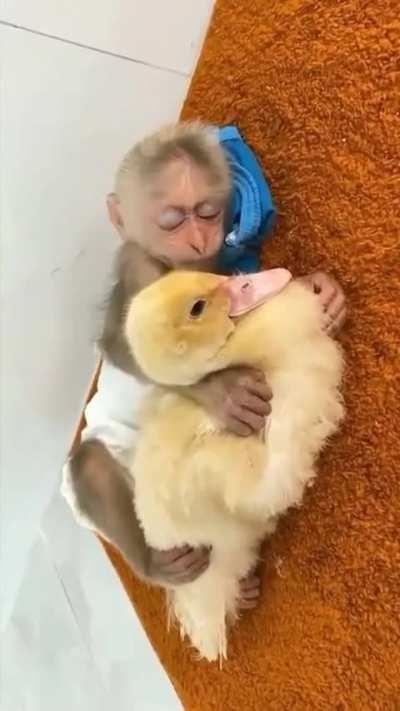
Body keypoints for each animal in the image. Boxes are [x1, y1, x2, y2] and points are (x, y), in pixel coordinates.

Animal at [63, 121, 347, 602]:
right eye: (172, 219)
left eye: (209, 212)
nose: (198, 239)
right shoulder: (137, 265)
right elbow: (118, 345)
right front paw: (226, 393)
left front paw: (325, 292)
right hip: (102, 466)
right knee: (91, 466)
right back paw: (161, 567)